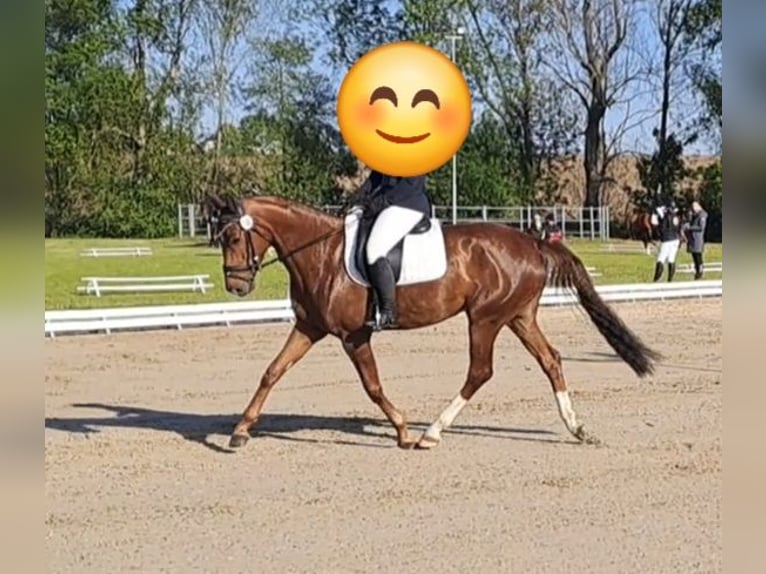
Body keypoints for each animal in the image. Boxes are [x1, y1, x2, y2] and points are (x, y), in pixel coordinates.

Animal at [208, 193, 661, 451]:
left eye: (232, 237)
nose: (235, 286)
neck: (321, 255)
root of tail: (533, 243)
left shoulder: (353, 336)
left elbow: (373, 386)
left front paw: (403, 431)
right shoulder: (310, 328)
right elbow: (272, 372)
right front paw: (241, 431)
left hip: (485, 318)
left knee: (480, 371)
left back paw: (432, 433)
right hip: (517, 317)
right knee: (551, 360)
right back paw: (577, 428)